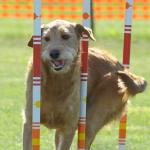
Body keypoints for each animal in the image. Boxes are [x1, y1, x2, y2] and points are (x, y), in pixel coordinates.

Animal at [23, 19, 146, 150]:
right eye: (46, 38)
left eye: (65, 36)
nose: (54, 53)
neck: (56, 82)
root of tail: (120, 66)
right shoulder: (30, 122)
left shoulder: (69, 127)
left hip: (92, 120)